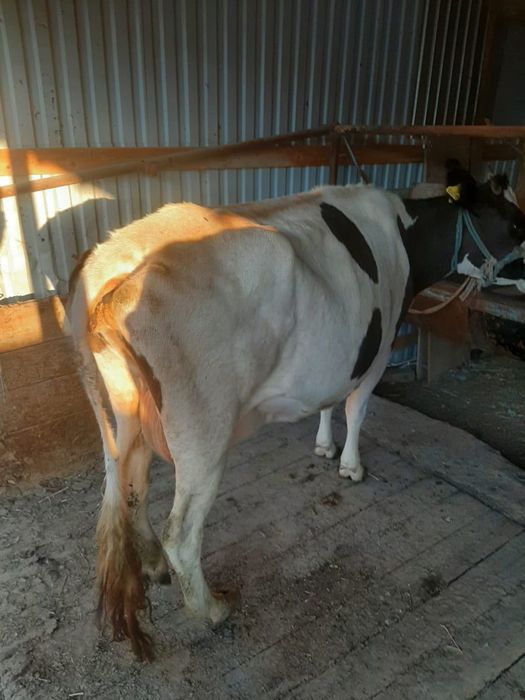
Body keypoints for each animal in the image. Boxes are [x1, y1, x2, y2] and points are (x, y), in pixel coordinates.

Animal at [68, 172, 525, 660]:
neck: (404, 232)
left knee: (131, 487)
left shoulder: (338, 356)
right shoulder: (378, 350)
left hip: (122, 415)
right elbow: (356, 409)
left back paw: (154, 564)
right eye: (516, 224)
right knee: (183, 533)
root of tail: (115, 265)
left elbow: (328, 401)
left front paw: (324, 447)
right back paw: (211, 608)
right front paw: (351, 467)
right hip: (202, 432)